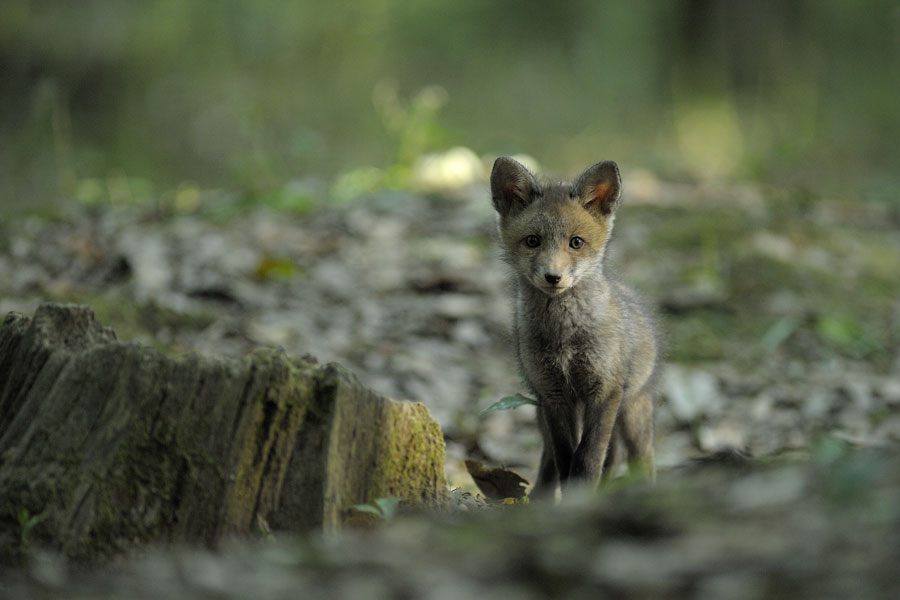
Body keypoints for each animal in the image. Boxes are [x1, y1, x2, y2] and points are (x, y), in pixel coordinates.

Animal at [488, 156, 656, 496]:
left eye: (576, 242)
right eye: (533, 241)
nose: (553, 277)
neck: (564, 337)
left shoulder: (605, 391)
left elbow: (589, 457)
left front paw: (583, 493)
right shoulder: (553, 395)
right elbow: (566, 457)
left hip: (633, 412)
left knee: (641, 460)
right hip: (542, 412)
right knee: (548, 462)